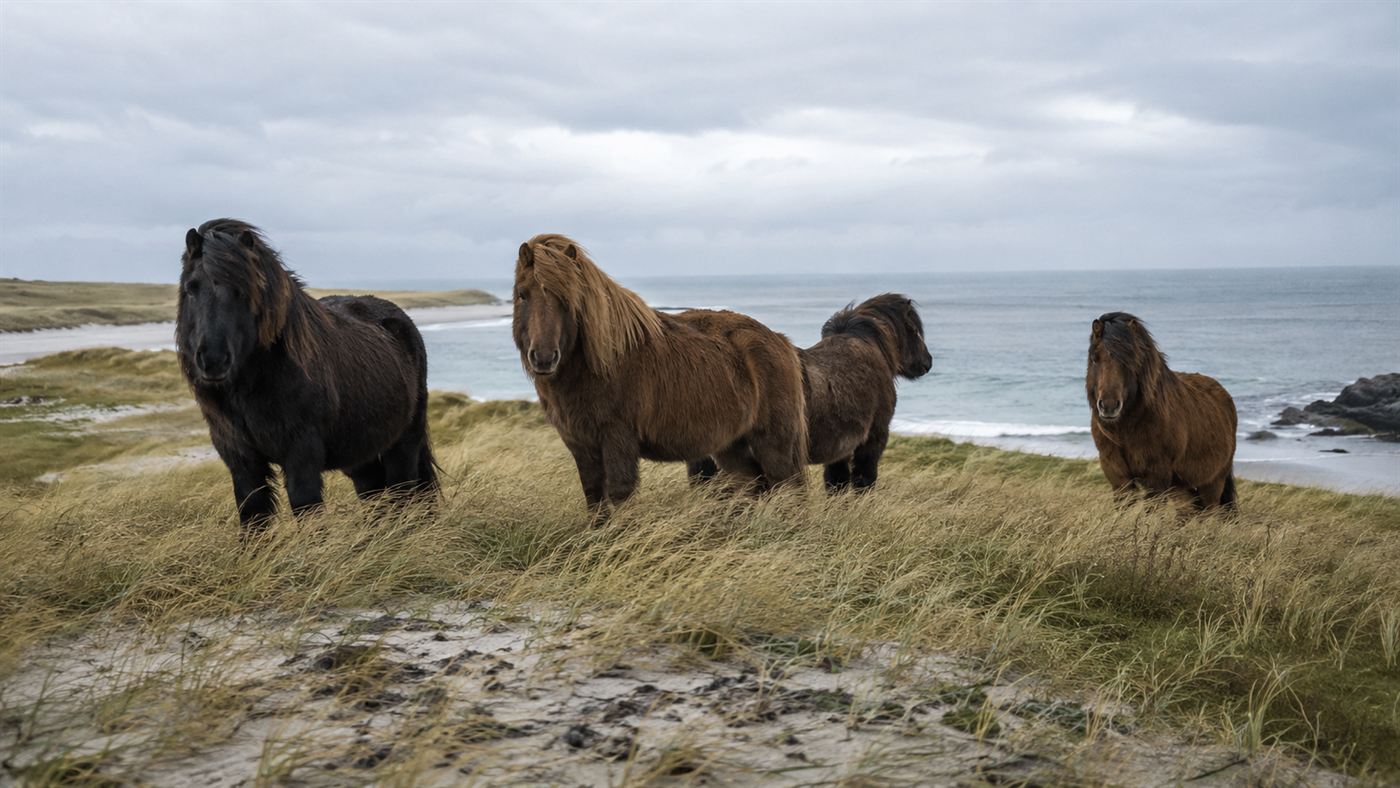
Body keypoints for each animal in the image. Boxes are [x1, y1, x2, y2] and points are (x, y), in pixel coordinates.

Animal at [177, 219, 437, 534]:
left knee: (403, 491)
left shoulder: (301, 454)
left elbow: (306, 509)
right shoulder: (241, 459)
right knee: (374, 491)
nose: (213, 360)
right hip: (358, 452)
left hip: (403, 441)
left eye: (243, 290)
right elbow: (253, 515)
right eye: (192, 287)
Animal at [512, 234, 807, 512]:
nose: (544, 358)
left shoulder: (618, 439)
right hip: (731, 445)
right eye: (523, 294)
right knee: (753, 483)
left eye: (567, 299)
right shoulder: (580, 445)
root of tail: (781, 341)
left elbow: (620, 494)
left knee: (788, 487)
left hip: (774, 443)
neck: (600, 364)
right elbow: (594, 499)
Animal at [687, 293, 932, 492]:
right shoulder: (872, 440)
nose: (927, 362)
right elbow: (863, 480)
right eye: (914, 330)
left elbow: (836, 483)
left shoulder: (840, 449)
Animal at [1086, 312, 1237, 509]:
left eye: (1130, 360)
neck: (1127, 429)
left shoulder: (1157, 478)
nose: (1109, 406)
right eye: (1094, 358)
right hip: (1182, 490)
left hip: (1212, 484)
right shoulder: (1118, 477)